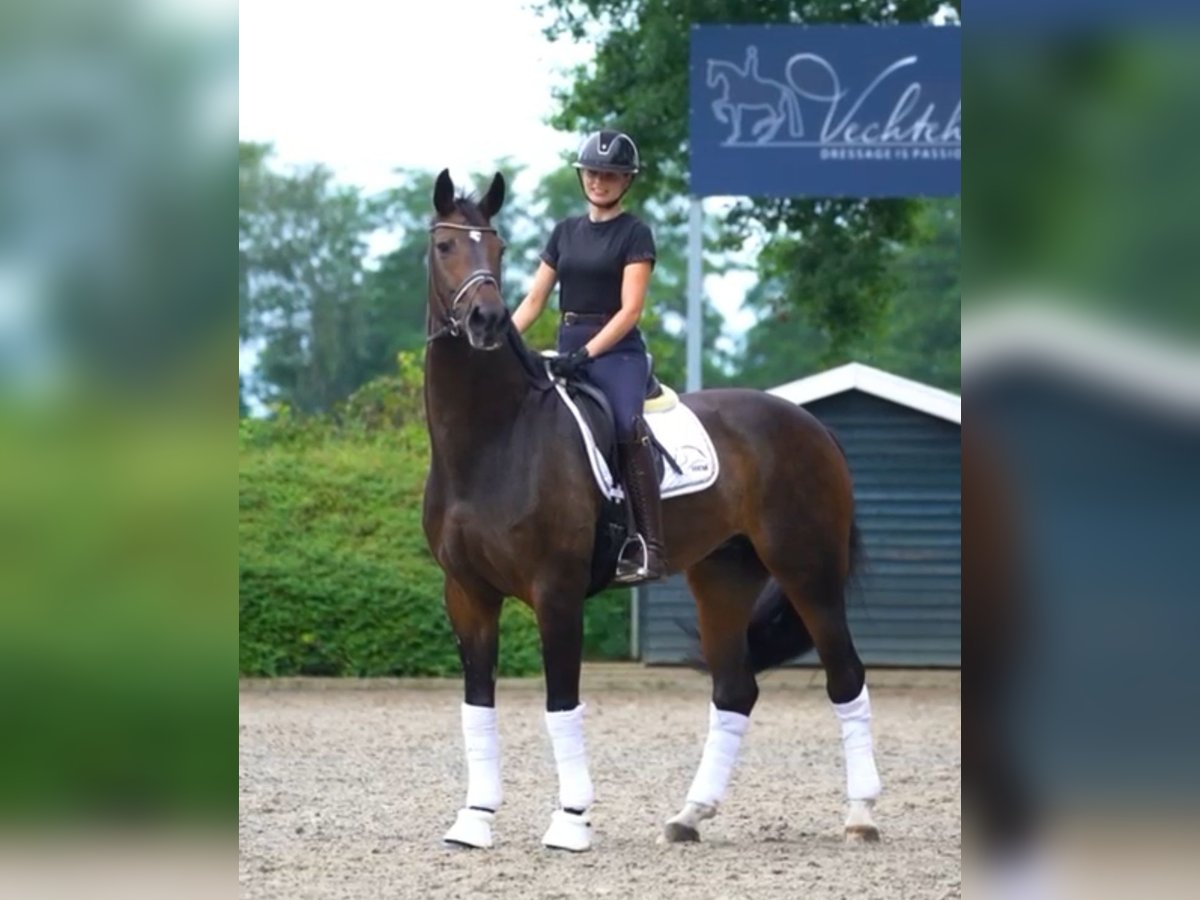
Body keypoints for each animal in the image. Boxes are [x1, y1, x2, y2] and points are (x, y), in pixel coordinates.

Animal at [422, 169, 883, 854]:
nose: (487, 319)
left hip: (809, 572)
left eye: (498, 248)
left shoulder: (555, 590)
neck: (493, 439)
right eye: (446, 245)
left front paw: (571, 821)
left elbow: (562, 704)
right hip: (723, 576)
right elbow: (478, 705)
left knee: (845, 677)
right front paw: (475, 820)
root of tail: (811, 426)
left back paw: (860, 816)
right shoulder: (467, 593)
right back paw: (690, 816)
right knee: (735, 689)